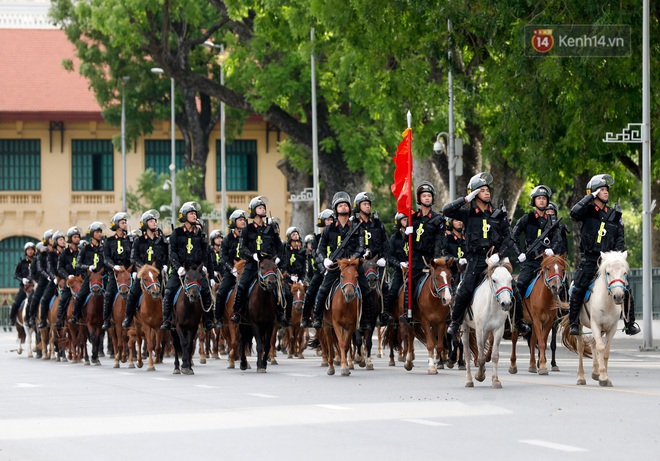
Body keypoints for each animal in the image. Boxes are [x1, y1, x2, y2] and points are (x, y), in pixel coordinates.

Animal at [458, 256, 516, 386]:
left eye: (510, 279)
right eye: (494, 280)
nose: (506, 304)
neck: (492, 306)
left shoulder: (498, 330)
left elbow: (494, 356)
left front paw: (495, 380)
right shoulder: (479, 330)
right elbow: (480, 357)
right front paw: (479, 376)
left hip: (486, 331)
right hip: (465, 327)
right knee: (467, 353)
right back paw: (469, 379)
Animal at [564, 250, 628, 386]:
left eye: (624, 272)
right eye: (608, 272)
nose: (618, 296)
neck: (607, 303)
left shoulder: (611, 328)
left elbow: (606, 351)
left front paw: (605, 377)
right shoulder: (595, 324)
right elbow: (600, 348)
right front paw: (603, 378)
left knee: (593, 343)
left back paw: (595, 372)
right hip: (580, 326)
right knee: (581, 347)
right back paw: (581, 377)